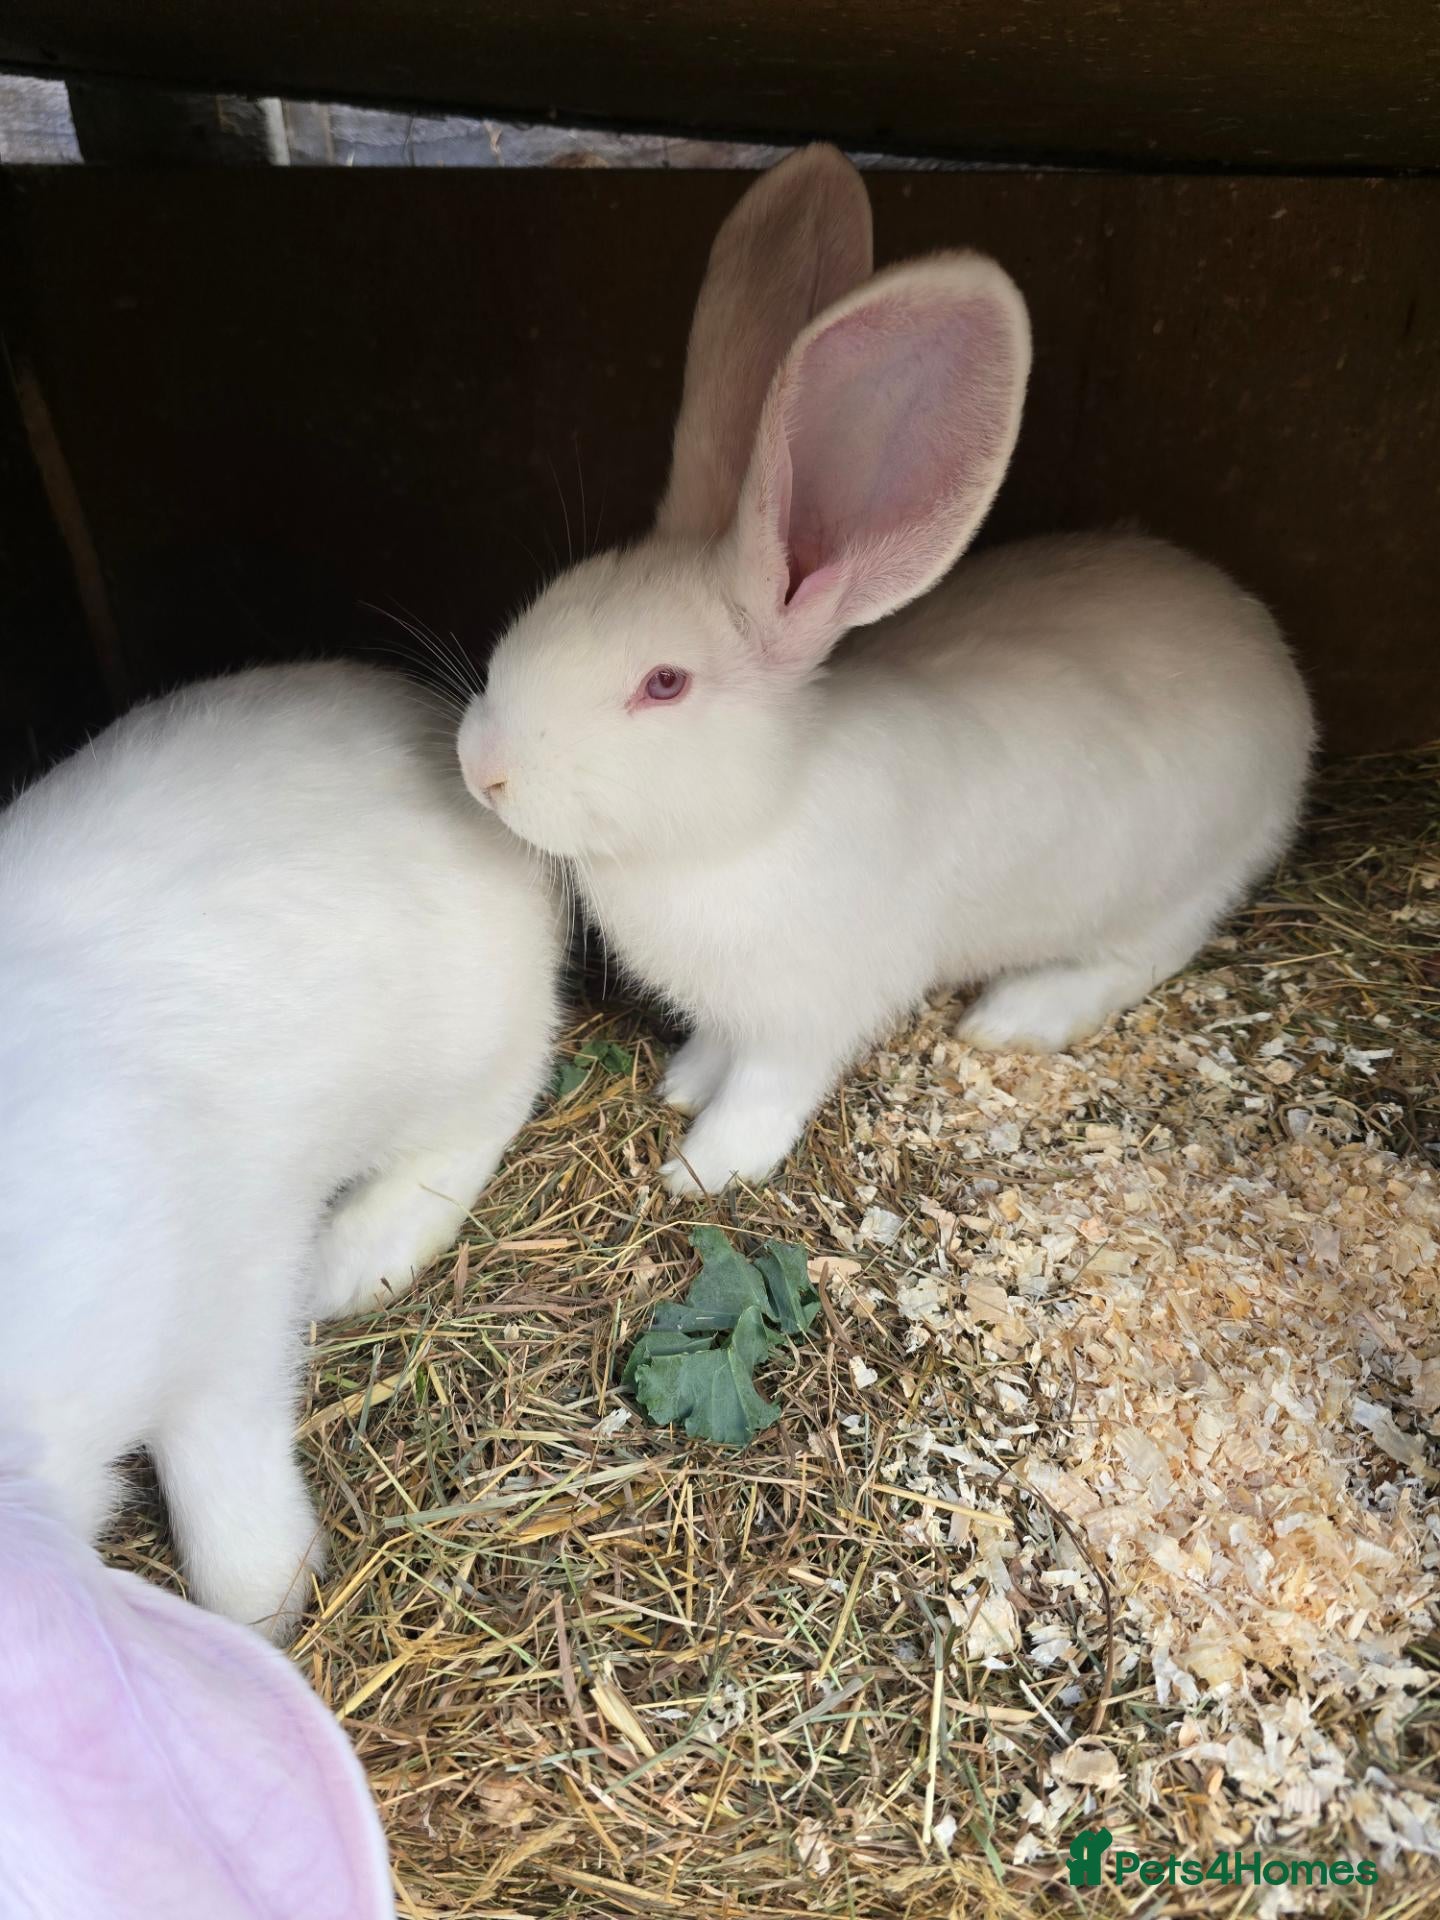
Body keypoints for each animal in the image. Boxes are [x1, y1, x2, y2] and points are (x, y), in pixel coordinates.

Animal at [0, 662, 559, 1640]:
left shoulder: (227, 1300)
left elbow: (224, 1453)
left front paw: (264, 1606)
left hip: (466, 1042)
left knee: (491, 1108)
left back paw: (355, 1263)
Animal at [456, 144, 1314, 1197]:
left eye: (664, 684)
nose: (482, 769)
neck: (748, 822)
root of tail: (1275, 661)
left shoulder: (806, 1015)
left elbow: (766, 1093)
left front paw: (700, 1168)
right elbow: (716, 1051)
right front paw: (683, 1084)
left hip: (1190, 876)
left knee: (1146, 952)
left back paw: (1017, 1014)